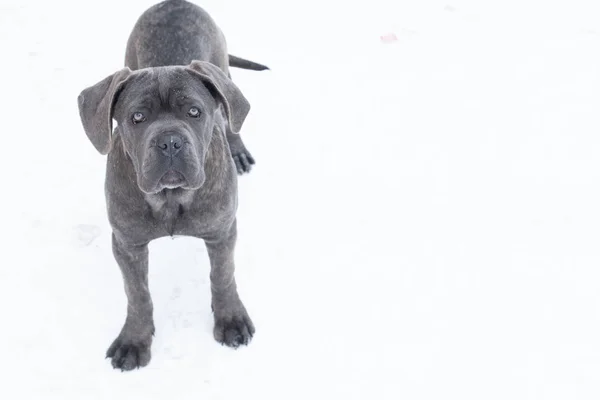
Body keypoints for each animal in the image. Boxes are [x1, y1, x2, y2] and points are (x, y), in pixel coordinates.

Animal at [77, 0, 268, 370]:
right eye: (137, 117)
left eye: (194, 112)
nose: (169, 142)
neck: (170, 199)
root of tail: (175, 3)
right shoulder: (127, 244)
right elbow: (137, 294)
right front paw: (134, 340)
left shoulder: (223, 231)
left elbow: (223, 276)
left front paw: (231, 319)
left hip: (222, 68)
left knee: (232, 113)